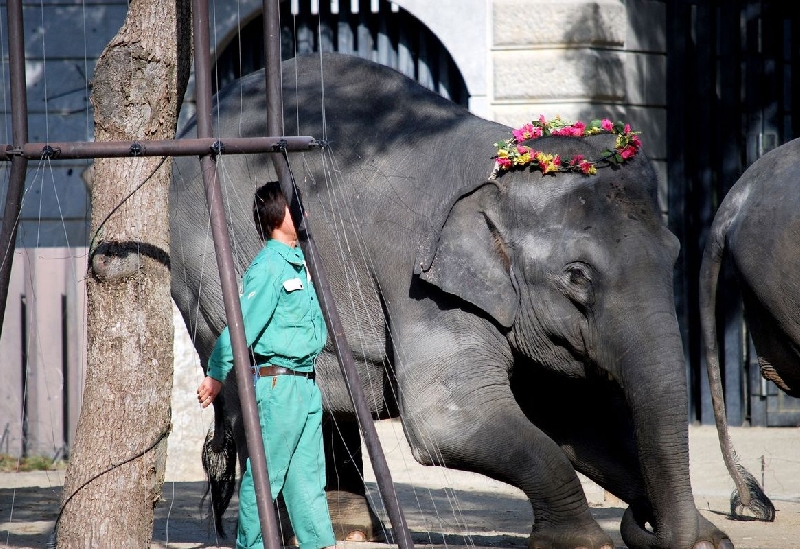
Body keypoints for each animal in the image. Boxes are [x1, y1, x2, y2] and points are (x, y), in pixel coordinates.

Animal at [172, 52, 736, 548]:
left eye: (674, 252)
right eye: (577, 276)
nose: (646, 520)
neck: (498, 164)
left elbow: (575, 419)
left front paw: (708, 540)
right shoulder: (422, 286)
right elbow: (448, 419)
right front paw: (581, 542)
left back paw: (351, 530)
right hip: (208, 276)